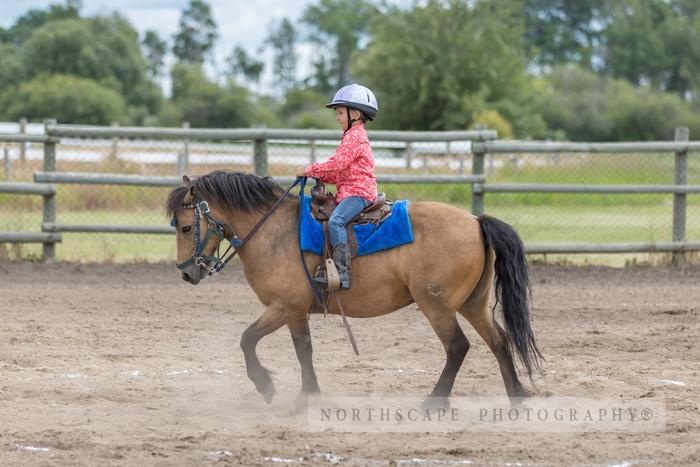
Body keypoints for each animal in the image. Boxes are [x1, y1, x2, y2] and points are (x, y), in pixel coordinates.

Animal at [167, 172, 544, 406]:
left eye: (185, 227)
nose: (187, 274)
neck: (274, 232)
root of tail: (476, 222)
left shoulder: (282, 307)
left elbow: (247, 340)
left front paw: (267, 386)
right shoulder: (296, 312)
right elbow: (304, 351)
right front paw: (309, 395)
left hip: (436, 305)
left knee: (457, 347)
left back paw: (433, 403)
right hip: (473, 303)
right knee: (499, 341)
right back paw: (516, 397)